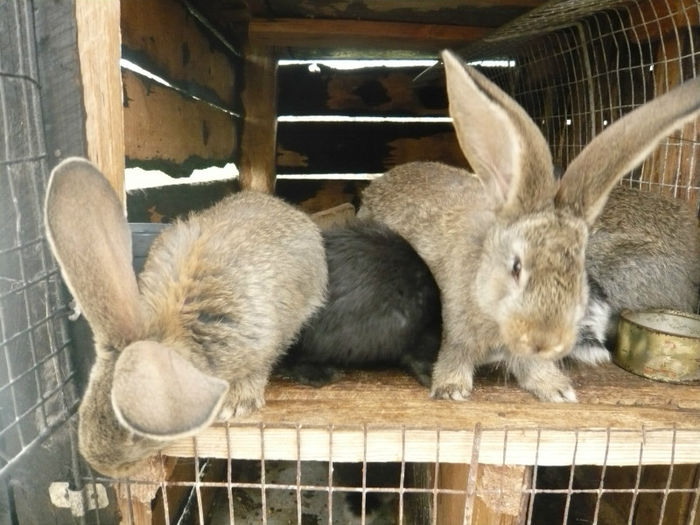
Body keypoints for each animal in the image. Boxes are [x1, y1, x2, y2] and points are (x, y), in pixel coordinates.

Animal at [44, 158, 328, 476]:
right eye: (85, 407)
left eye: (138, 434)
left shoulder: (261, 344)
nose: (102, 467)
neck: (175, 328)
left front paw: (236, 405)